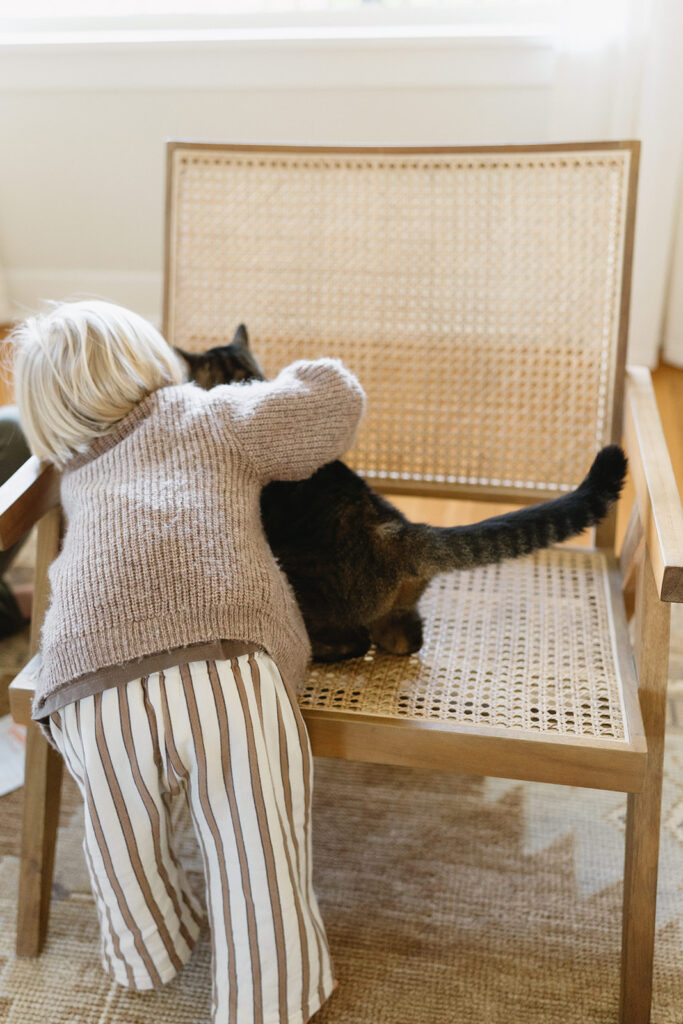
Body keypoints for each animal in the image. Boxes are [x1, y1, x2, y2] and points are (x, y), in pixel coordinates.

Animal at [178, 327, 630, 663]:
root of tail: (398, 530)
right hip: (401, 616)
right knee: (405, 641)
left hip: (304, 587)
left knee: (352, 642)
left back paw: (321, 654)